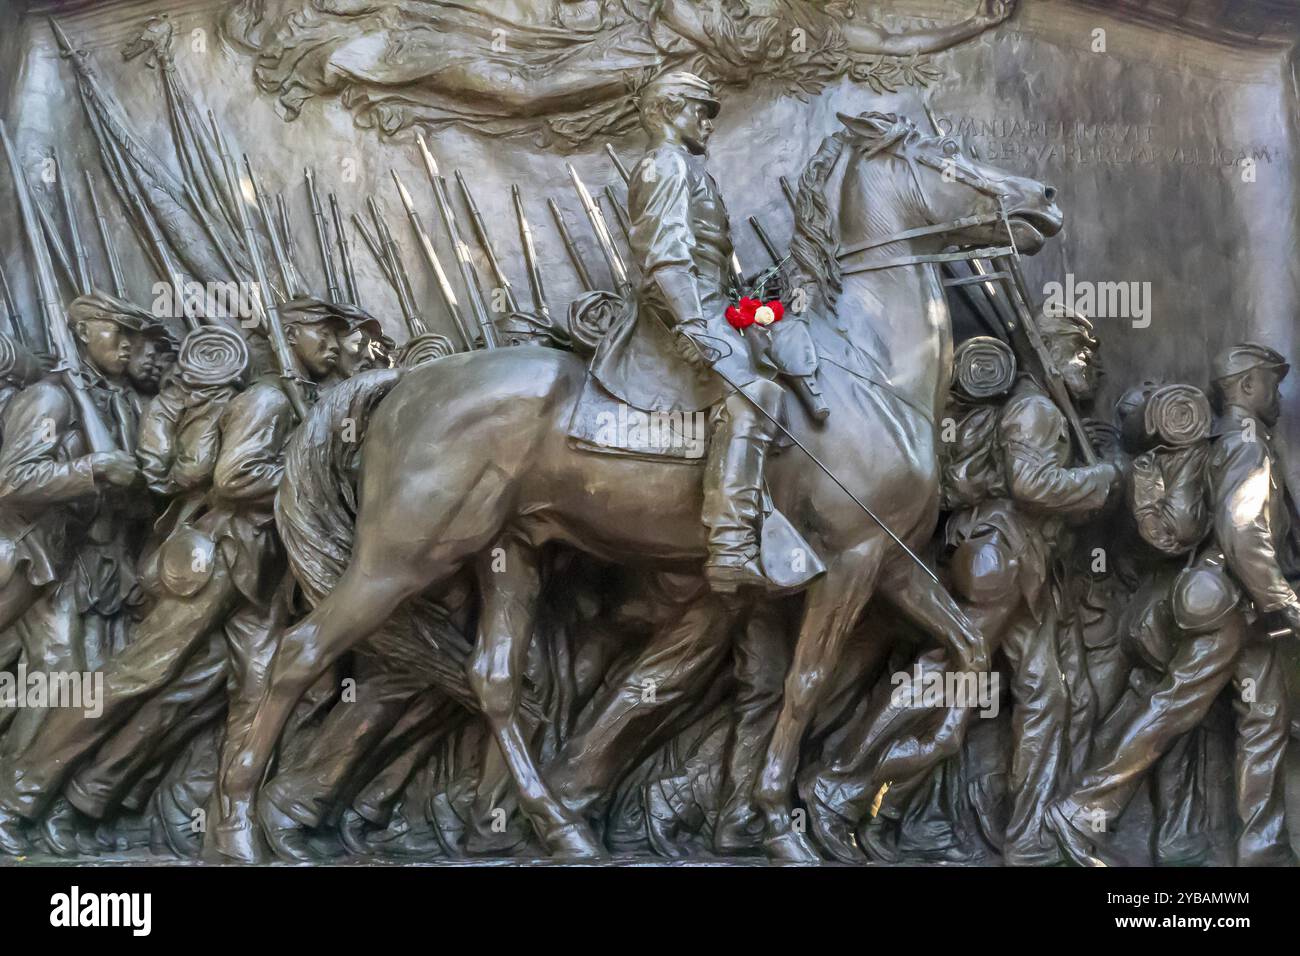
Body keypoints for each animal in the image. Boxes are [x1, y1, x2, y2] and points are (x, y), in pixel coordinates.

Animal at [213, 108, 1060, 863]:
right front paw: (784, 822)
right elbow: (807, 683)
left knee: (493, 681)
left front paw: (880, 777)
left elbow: (967, 653)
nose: (1046, 200)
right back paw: (242, 828)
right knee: (298, 654)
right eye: (951, 158)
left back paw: (560, 830)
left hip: (507, 551)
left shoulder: (890, 561)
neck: (867, 365)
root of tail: (401, 383)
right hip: (402, 555)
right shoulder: (848, 561)